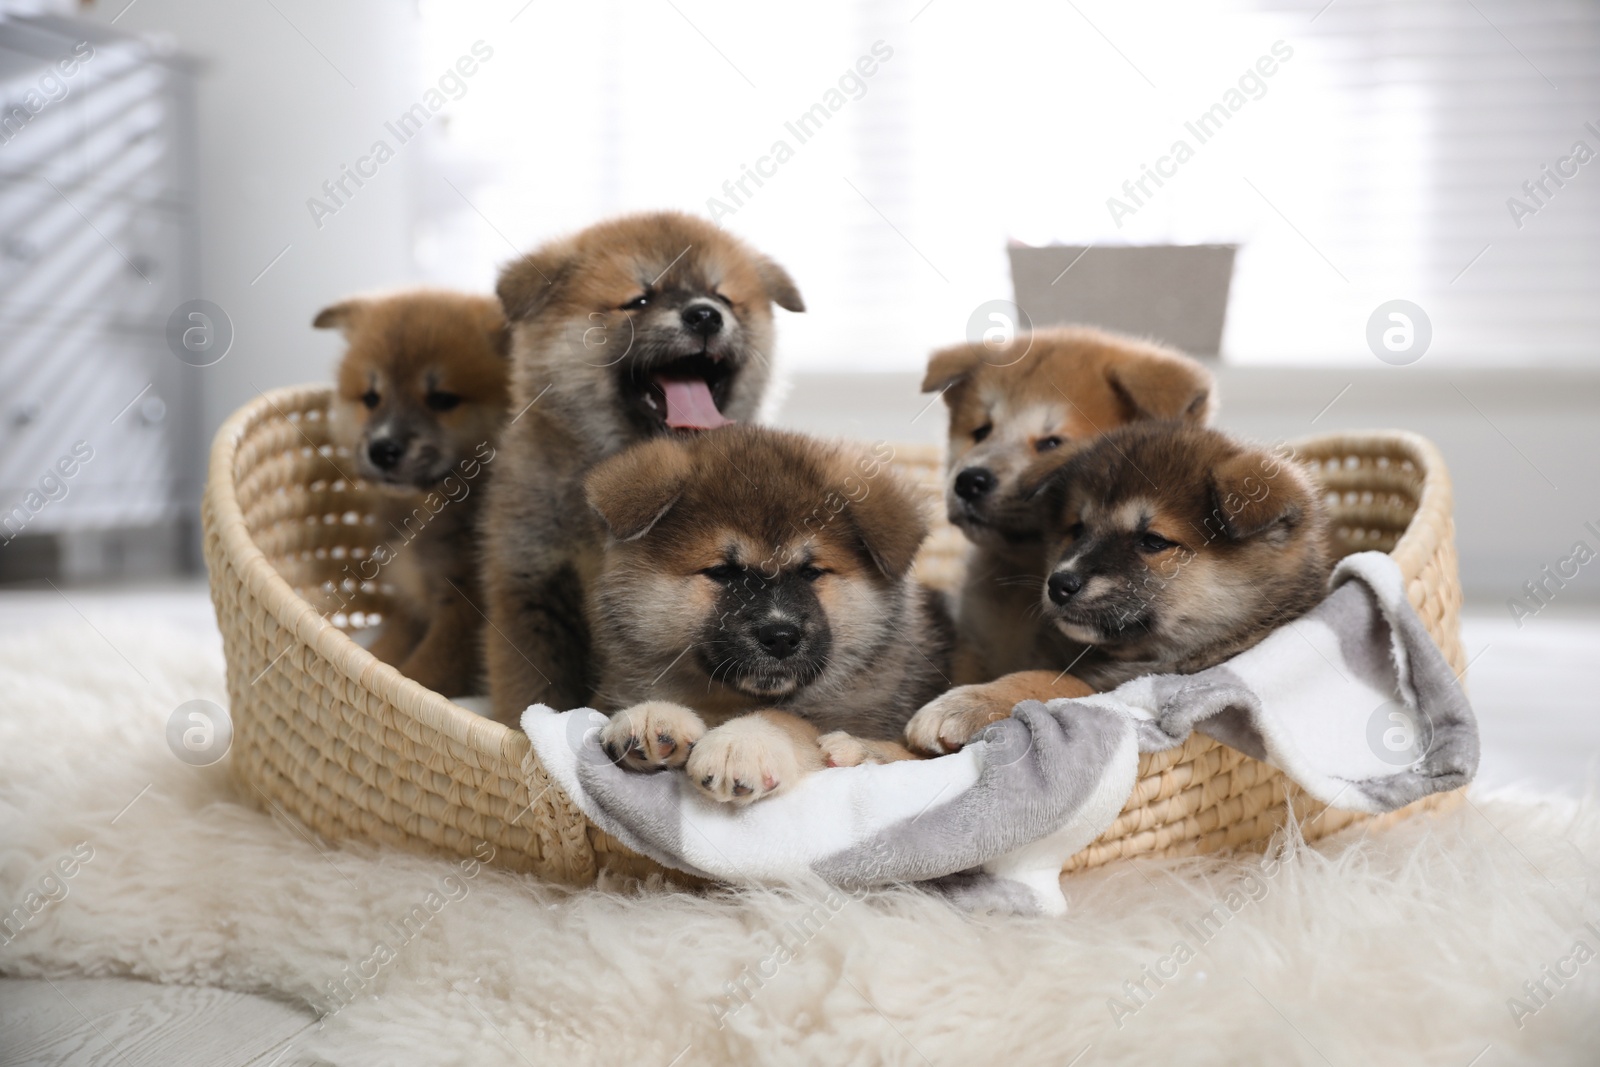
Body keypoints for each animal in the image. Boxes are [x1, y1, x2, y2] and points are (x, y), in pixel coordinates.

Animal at [316, 287, 505, 697]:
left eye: (443, 399)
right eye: (371, 398)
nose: (383, 449)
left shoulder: (460, 618)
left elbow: (417, 676)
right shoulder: (411, 608)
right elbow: (381, 657)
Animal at [582, 428, 947, 806]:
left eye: (810, 572)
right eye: (723, 572)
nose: (781, 637)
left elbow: (784, 717)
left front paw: (743, 741)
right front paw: (654, 714)